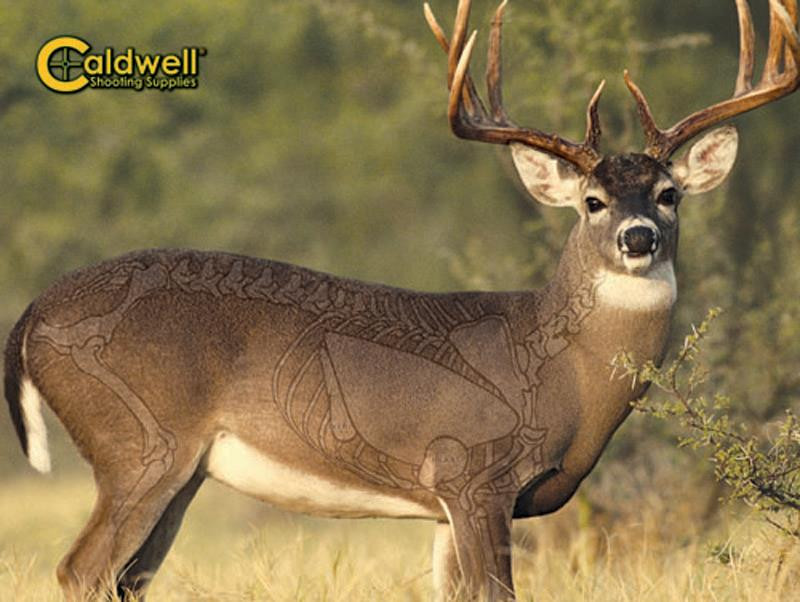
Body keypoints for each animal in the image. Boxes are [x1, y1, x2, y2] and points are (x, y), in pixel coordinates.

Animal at [4, 0, 799, 600]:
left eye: (669, 194)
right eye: (592, 201)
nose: (639, 238)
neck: (560, 373)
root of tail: (31, 318)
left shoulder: (447, 507)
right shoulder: (472, 472)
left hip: (179, 470)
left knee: (125, 579)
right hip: (139, 441)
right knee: (81, 570)